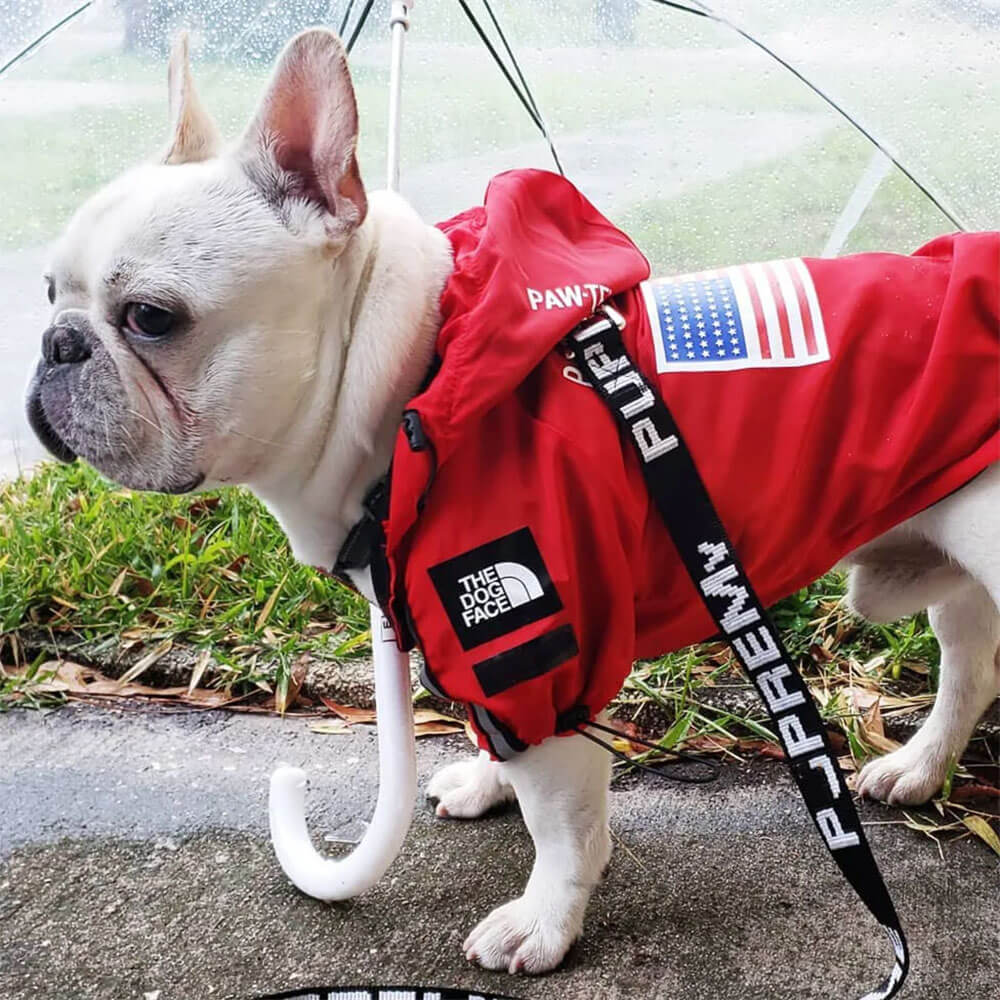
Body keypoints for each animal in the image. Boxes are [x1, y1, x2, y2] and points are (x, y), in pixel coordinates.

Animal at [25, 31, 1000, 976]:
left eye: (153, 317)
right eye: (47, 290)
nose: (55, 343)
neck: (416, 383)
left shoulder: (532, 649)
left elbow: (561, 823)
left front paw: (546, 921)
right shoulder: (478, 653)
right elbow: (504, 745)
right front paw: (489, 781)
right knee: (969, 666)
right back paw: (919, 768)